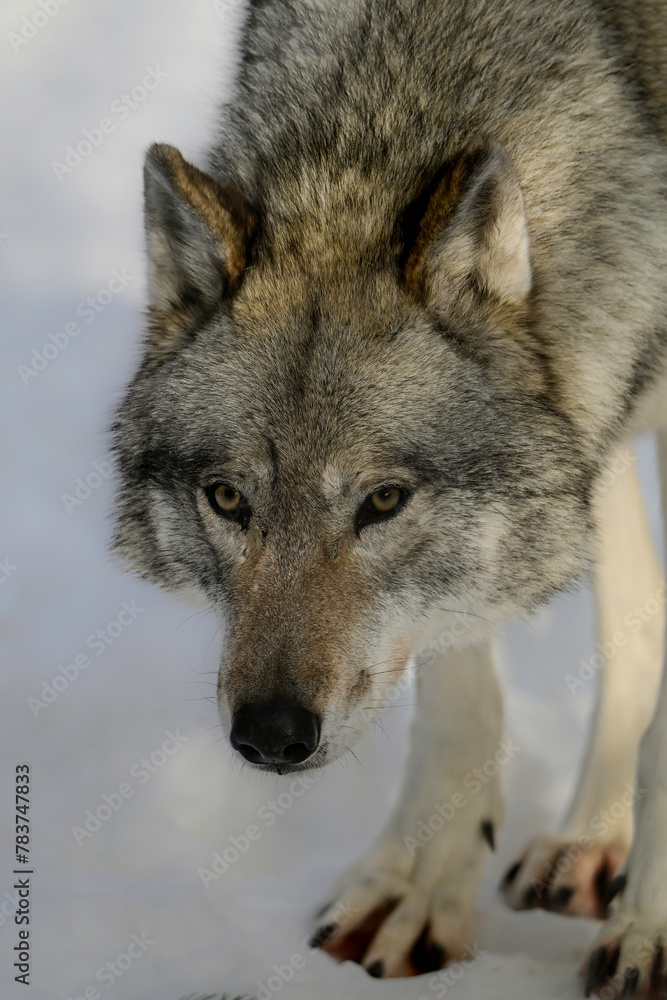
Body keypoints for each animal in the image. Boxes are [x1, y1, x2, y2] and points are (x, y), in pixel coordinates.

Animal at [112, 0, 667, 994]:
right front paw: (417, 889)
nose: (271, 734)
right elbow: (457, 693)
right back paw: (588, 843)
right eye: (227, 498)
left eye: (381, 502)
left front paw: (648, 929)